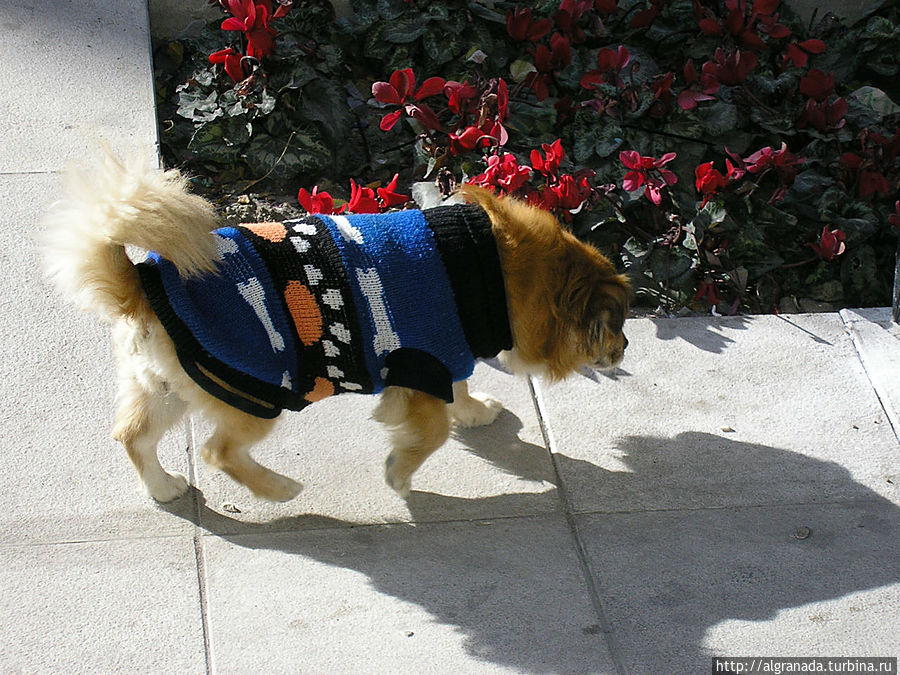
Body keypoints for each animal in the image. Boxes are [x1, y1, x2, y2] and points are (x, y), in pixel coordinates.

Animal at [42, 153, 628, 502]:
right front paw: (400, 473)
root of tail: (140, 284)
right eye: (617, 326)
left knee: (132, 436)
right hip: (253, 397)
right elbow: (431, 430)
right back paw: (277, 488)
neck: (494, 267)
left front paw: (475, 411)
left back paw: (164, 487)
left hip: (166, 387)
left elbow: (459, 391)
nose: (624, 349)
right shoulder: (420, 368)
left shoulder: (446, 354)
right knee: (219, 453)